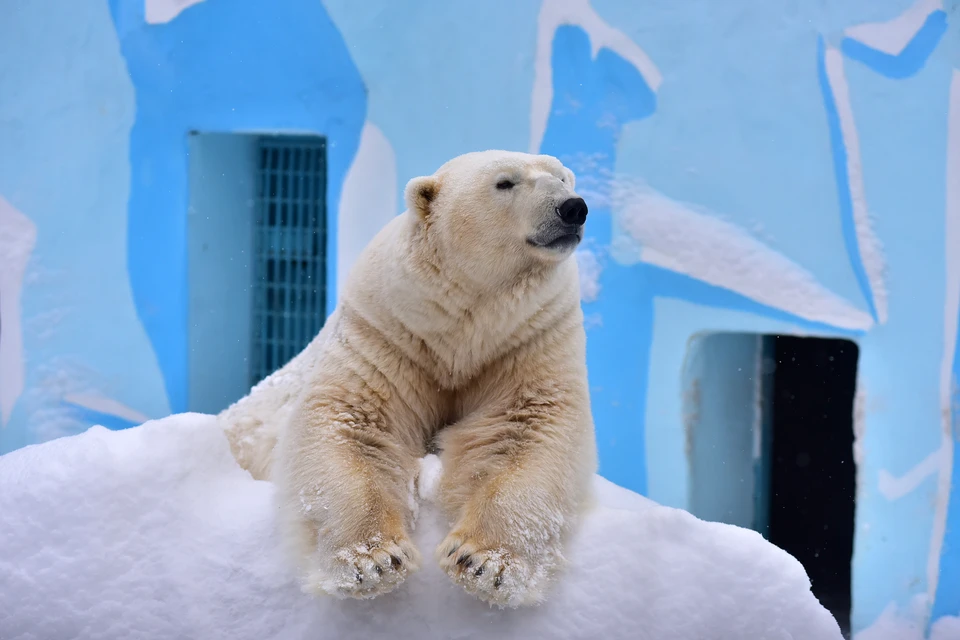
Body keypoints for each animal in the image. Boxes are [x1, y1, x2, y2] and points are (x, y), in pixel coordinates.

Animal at [219, 151, 592, 608]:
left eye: (563, 178)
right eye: (505, 182)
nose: (573, 208)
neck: (462, 327)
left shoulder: (527, 340)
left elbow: (528, 431)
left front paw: (484, 564)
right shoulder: (386, 335)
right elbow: (350, 427)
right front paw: (373, 561)